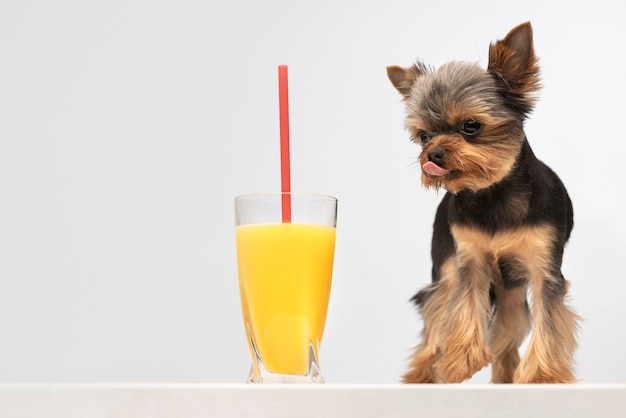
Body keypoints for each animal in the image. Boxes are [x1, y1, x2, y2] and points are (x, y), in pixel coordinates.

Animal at [386, 22, 580, 382]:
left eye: (471, 126)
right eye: (423, 136)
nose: (432, 154)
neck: (492, 193)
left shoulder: (543, 268)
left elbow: (547, 323)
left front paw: (541, 377)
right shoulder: (470, 263)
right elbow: (465, 309)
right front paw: (460, 360)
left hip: (511, 291)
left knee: (509, 327)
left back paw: (506, 374)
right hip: (446, 269)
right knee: (436, 316)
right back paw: (423, 374)